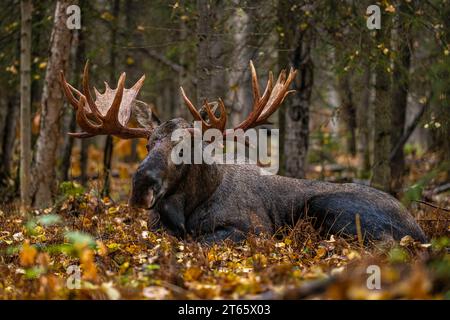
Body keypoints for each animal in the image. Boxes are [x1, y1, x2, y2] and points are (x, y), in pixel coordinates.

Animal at [59, 61, 426, 244]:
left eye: (186, 148)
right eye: (149, 144)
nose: (141, 184)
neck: (186, 210)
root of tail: (420, 230)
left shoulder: (254, 228)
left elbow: (197, 241)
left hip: (329, 205)